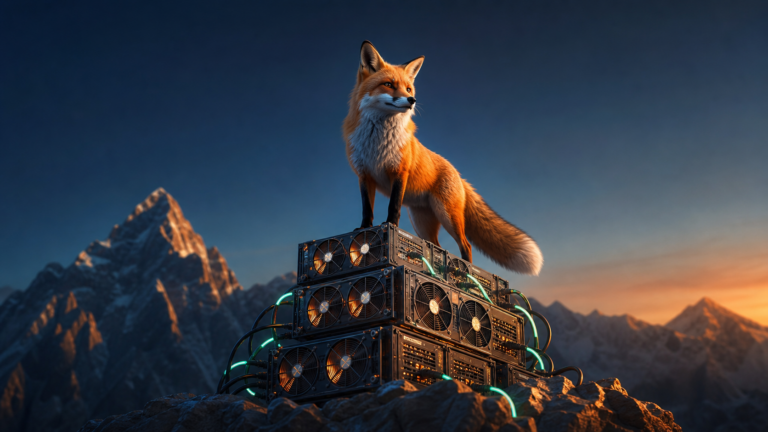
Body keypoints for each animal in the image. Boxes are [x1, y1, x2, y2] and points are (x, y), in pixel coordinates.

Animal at [343, 41, 543, 275]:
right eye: (389, 84)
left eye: (408, 89)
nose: (412, 100)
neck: (377, 140)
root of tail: (459, 175)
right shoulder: (364, 174)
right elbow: (367, 210)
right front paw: (364, 230)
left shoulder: (399, 172)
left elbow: (393, 208)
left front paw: (391, 227)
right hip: (422, 224)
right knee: (434, 248)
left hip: (448, 216)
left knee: (466, 245)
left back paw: (467, 272)